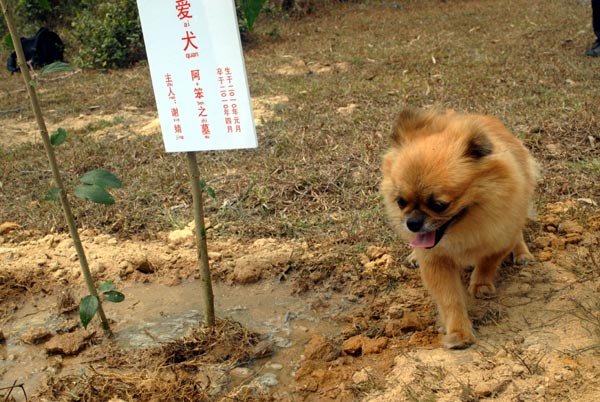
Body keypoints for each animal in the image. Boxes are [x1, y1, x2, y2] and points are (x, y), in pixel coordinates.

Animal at [382, 107, 536, 348]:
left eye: (439, 205)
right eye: (400, 202)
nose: (412, 223)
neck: (464, 228)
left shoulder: (501, 237)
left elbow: (488, 262)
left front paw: (481, 284)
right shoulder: (436, 260)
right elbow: (449, 298)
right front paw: (458, 332)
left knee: (518, 232)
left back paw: (522, 253)